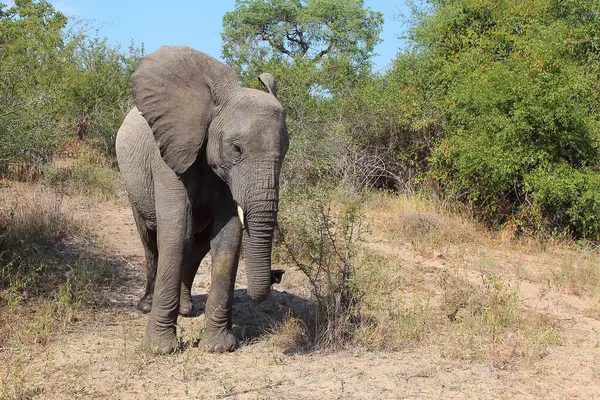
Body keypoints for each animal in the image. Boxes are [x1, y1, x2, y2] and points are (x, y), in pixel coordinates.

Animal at [116, 45, 290, 354]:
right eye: (236, 149)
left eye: (285, 152)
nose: (277, 274)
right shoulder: (168, 155)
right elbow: (175, 232)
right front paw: (159, 350)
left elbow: (228, 238)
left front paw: (218, 347)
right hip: (132, 183)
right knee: (150, 239)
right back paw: (146, 306)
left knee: (195, 245)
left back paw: (186, 310)